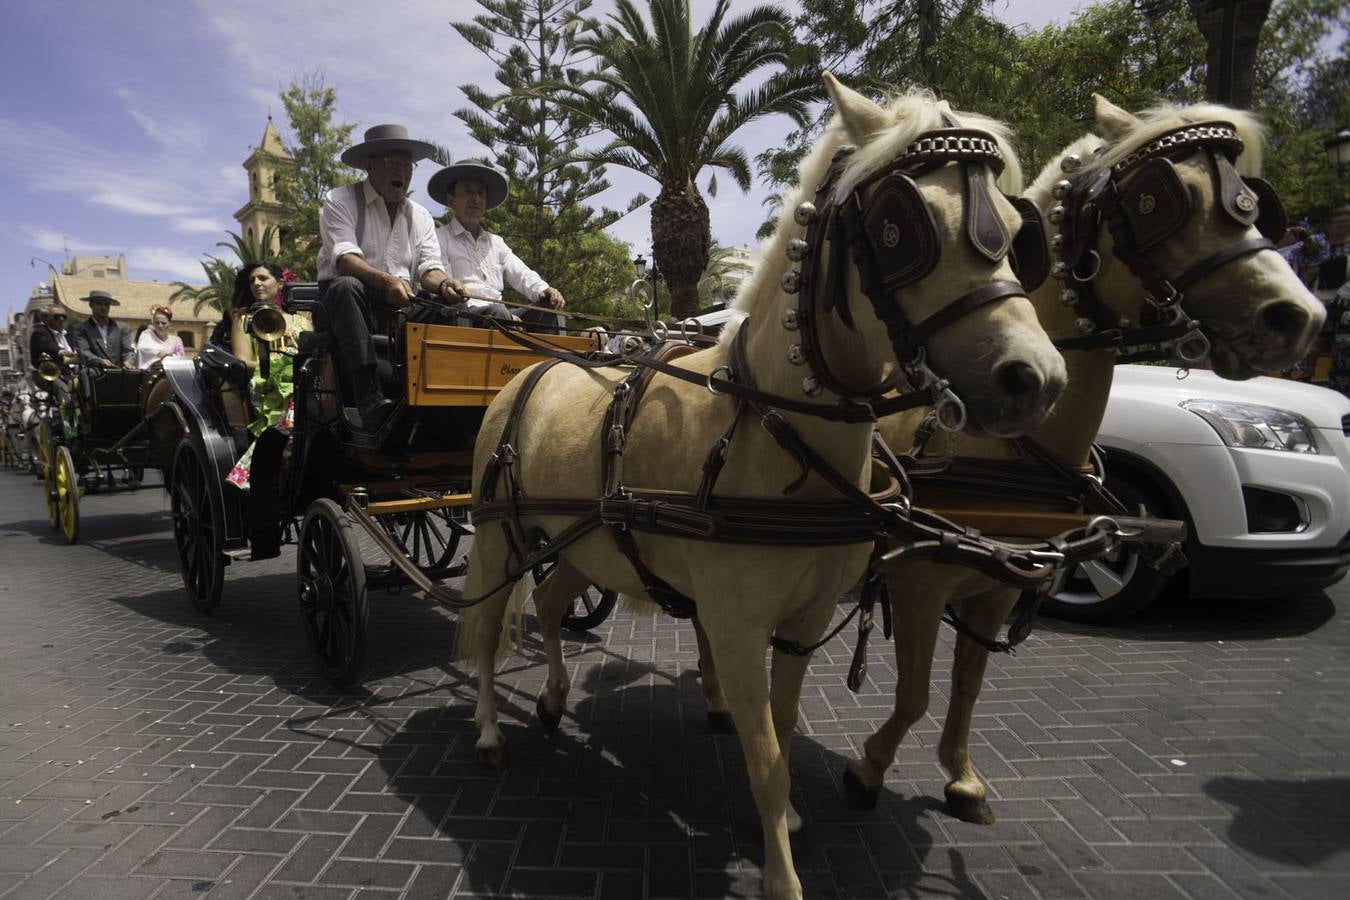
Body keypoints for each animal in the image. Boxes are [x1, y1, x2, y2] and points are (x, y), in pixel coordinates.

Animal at [461, 72, 1063, 900]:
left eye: (1016, 226)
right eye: (899, 229)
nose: (1034, 380)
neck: (768, 428)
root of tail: (534, 368)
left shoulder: (802, 622)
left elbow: (780, 729)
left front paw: (785, 824)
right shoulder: (738, 626)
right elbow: (770, 759)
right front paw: (782, 872)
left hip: (584, 545)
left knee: (550, 606)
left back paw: (551, 696)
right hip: (496, 537)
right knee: (489, 631)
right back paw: (490, 730)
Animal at [842, 97, 1328, 825]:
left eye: (1251, 201)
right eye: (1160, 199)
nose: (1299, 318)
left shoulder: (1000, 581)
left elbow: (967, 685)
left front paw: (962, 776)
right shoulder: (921, 580)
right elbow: (915, 694)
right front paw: (871, 767)